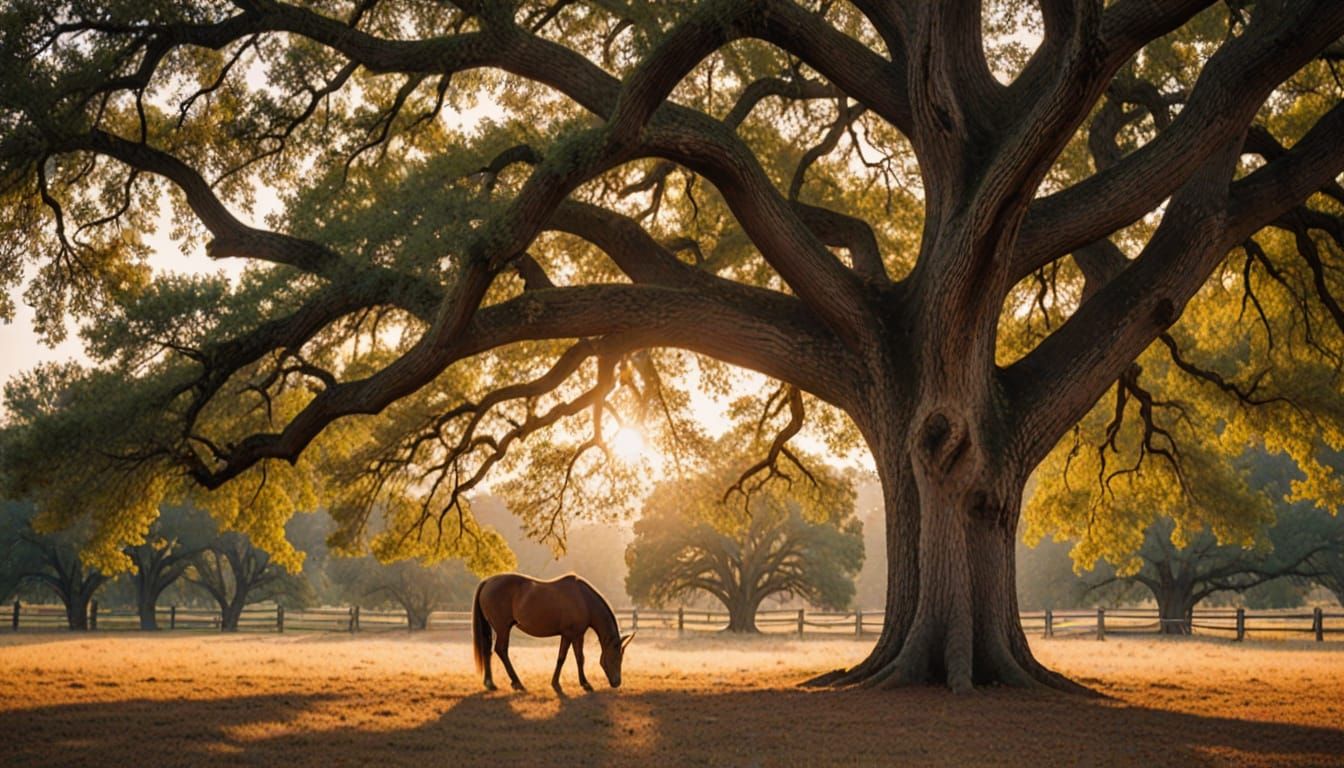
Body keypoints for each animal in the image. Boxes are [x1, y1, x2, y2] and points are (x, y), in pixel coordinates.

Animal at [472, 572, 634, 692]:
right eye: (615, 657)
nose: (617, 682)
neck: (584, 600)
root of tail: (488, 581)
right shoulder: (570, 634)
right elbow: (564, 658)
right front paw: (559, 683)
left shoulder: (576, 635)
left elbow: (578, 658)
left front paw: (582, 683)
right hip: (503, 628)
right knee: (501, 650)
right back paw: (517, 683)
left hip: (495, 628)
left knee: (487, 650)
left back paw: (490, 683)